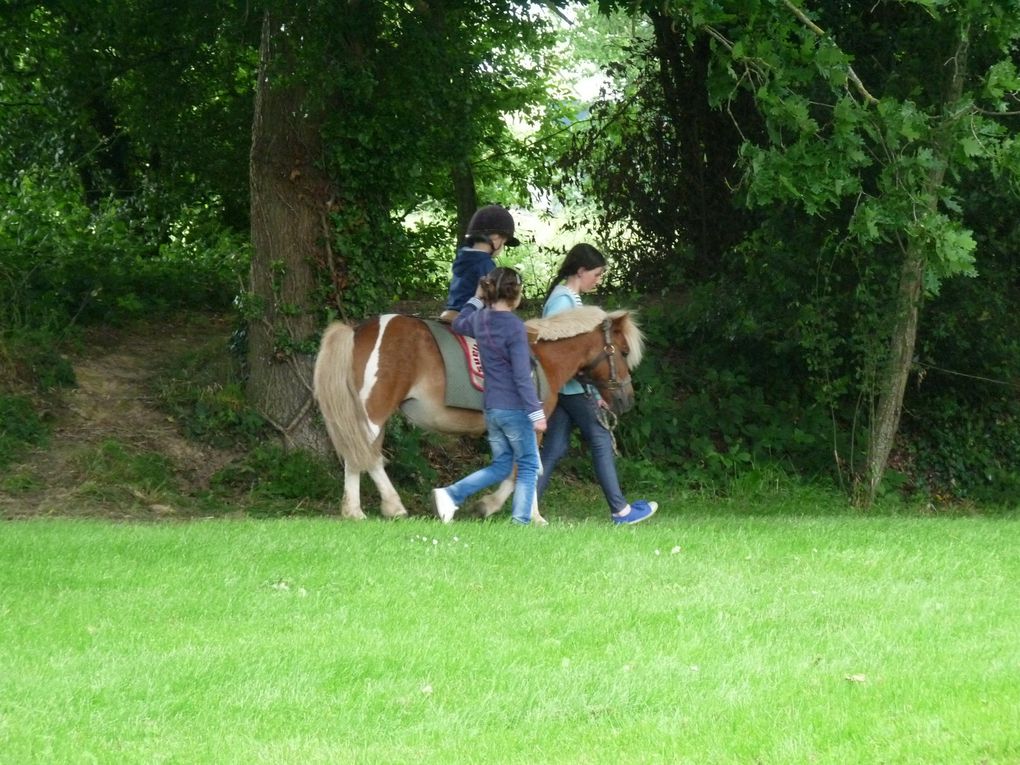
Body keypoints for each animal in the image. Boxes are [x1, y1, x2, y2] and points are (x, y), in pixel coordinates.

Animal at [312, 306, 644, 522]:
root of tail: (358, 330)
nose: (627, 399)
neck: (542, 358)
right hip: (374, 411)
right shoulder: (530, 426)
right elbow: (527, 468)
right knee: (361, 455)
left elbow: (519, 468)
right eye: (624, 351)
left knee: (364, 455)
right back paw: (373, 508)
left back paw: (373, 508)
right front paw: (522, 513)